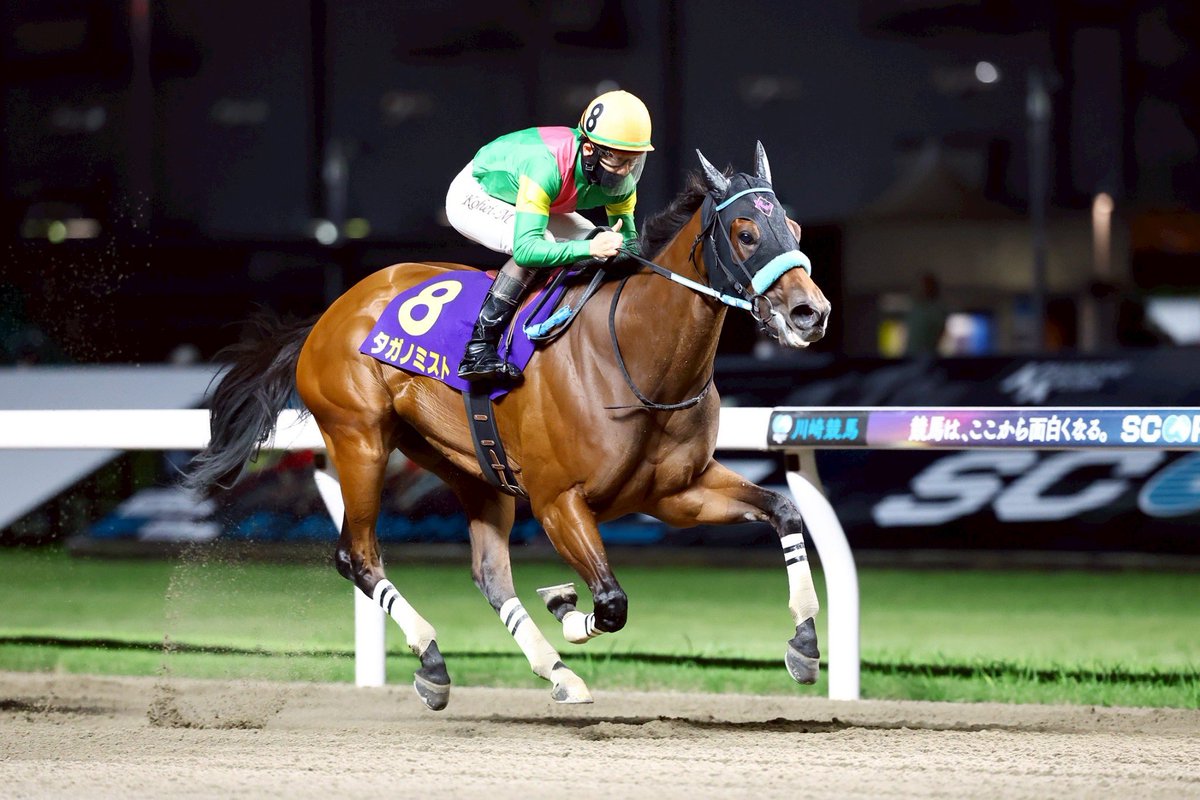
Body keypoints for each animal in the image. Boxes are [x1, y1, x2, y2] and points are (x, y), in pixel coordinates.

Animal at [185, 142, 831, 710]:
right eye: (746, 233)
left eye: (796, 231)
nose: (811, 313)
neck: (634, 355)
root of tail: (329, 314)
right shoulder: (557, 501)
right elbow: (611, 602)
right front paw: (568, 606)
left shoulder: (675, 492)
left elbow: (784, 510)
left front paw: (803, 644)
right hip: (360, 438)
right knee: (358, 556)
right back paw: (434, 662)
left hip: (470, 465)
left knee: (490, 575)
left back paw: (556, 674)